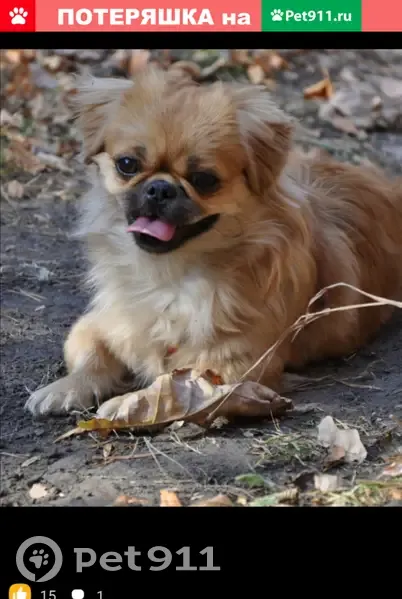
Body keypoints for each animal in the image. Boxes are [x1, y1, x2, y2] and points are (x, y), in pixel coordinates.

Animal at [25, 67, 402, 422]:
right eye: (127, 165)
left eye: (204, 179)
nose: (159, 188)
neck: (169, 276)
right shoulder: (101, 323)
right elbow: (90, 354)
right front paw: (65, 389)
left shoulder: (234, 368)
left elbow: (167, 387)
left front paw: (127, 404)